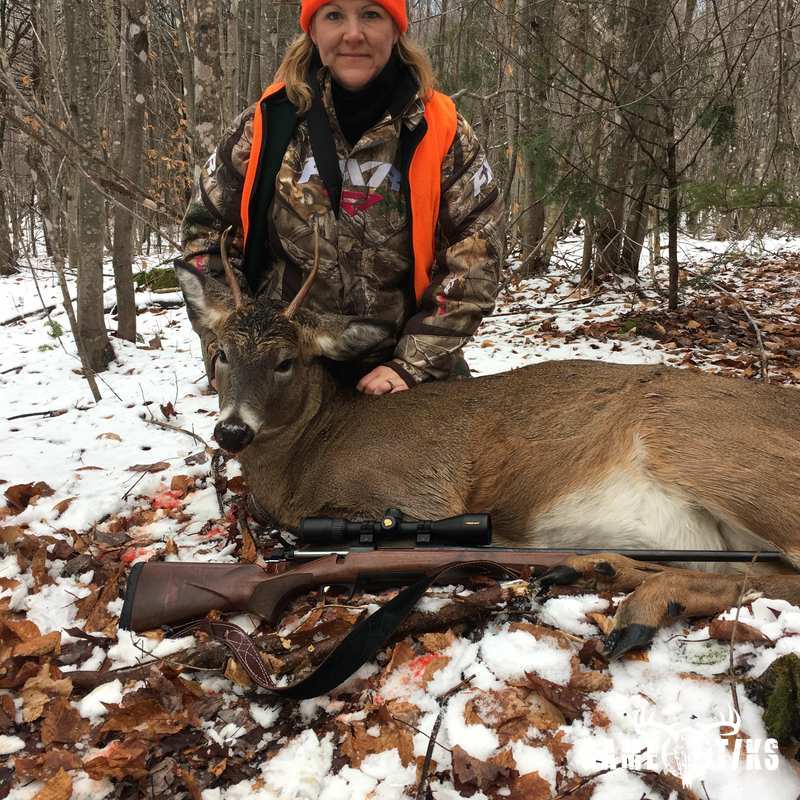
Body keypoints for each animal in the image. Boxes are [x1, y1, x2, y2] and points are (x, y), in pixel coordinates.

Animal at [175, 227, 800, 659]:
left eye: (286, 361)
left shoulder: (420, 494)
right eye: (220, 353)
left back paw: (638, 601)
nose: (232, 429)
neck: (310, 453)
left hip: (707, 452)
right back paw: (597, 572)